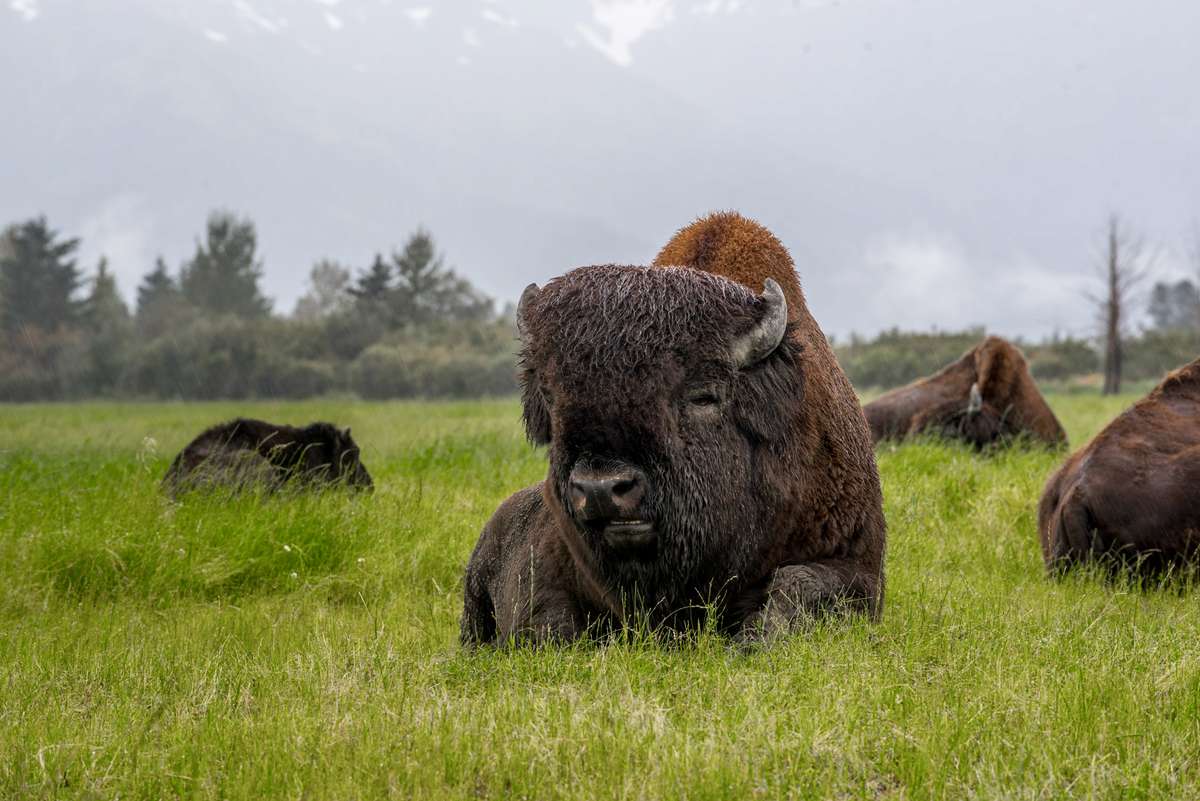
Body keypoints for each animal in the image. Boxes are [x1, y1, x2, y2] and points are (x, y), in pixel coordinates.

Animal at [461, 212, 886, 646]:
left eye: (703, 396)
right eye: (550, 396)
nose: (601, 489)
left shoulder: (860, 570)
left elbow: (795, 583)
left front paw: (753, 642)